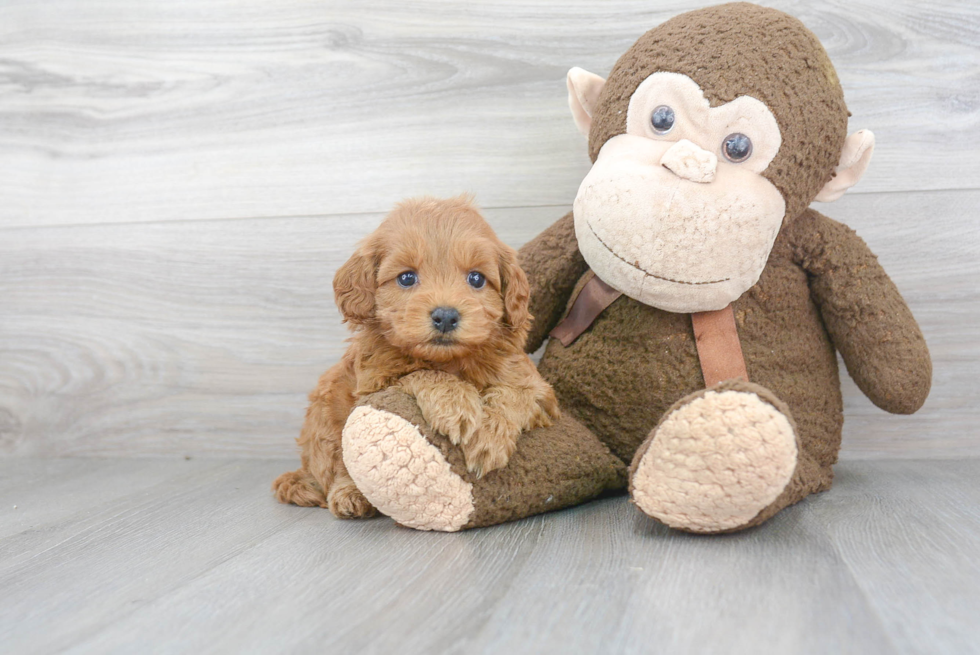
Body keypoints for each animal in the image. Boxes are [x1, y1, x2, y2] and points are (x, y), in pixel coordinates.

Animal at [272, 195, 560, 516]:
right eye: (407, 278)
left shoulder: (541, 394)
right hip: (325, 418)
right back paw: (350, 494)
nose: (446, 316)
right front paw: (456, 405)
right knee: (336, 467)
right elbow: (421, 373)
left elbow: (514, 394)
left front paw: (488, 436)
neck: (450, 360)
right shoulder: (374, 386)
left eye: (476, 279)